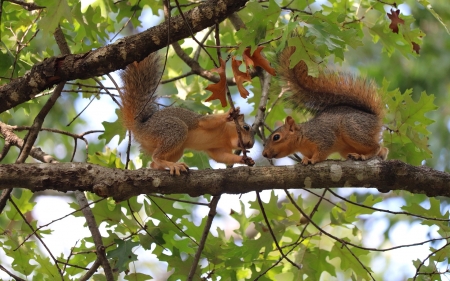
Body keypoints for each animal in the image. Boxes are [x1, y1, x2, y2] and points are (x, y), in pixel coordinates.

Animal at [119, 52, 255, 174]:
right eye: (246, 127)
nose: (250, 145)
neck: (225, 137)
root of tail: (140, 127)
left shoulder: (216, 149)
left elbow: (222, 157)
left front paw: (245, 159)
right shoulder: (206, 123)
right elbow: (207, 121)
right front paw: (230, 114)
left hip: (177, 149)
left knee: (154, 164)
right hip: (172, 129)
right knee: (156, 157)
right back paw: (173, 165)